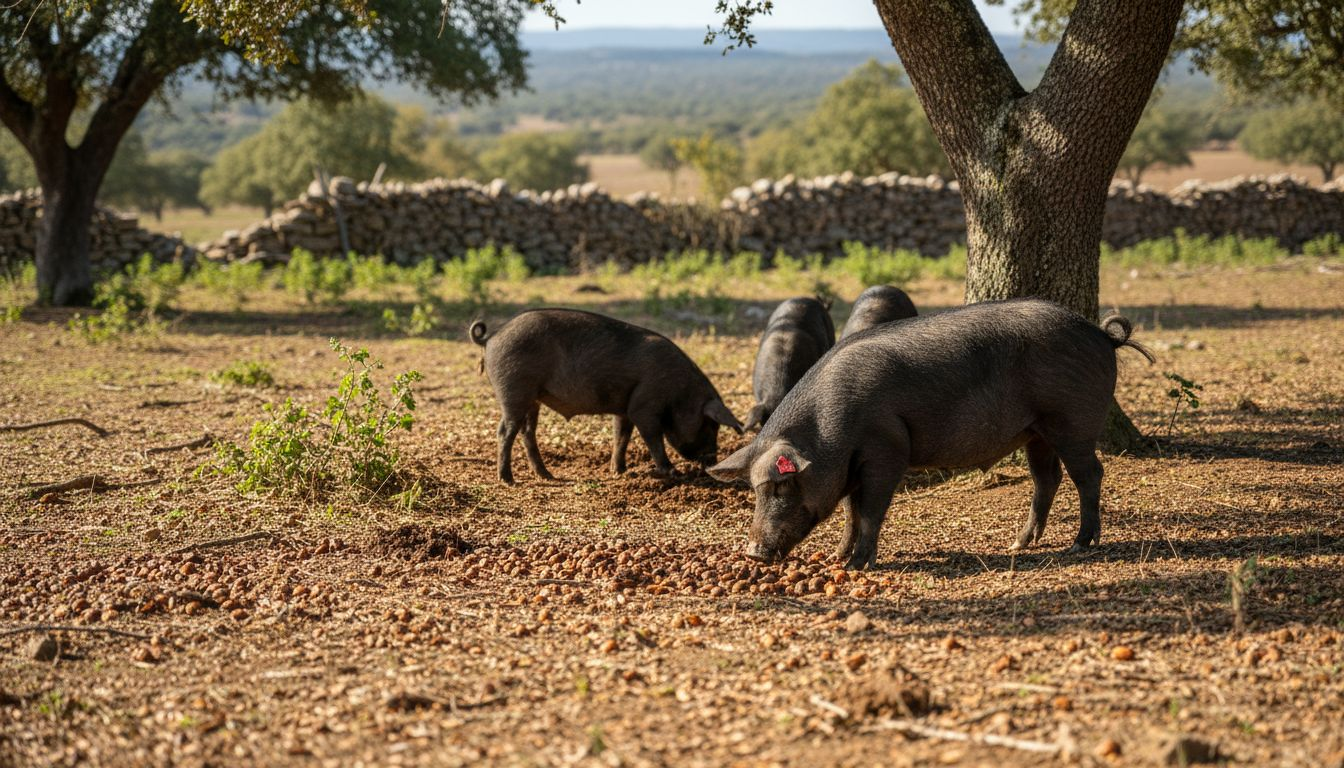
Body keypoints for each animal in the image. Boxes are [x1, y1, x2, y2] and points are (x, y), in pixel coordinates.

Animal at [469, 309, 743, 484]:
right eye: (711, 425)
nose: (712, 462)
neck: (680, 393)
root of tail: (491, 337)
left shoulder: (625, 409)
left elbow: (621, 436)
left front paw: (618, 471)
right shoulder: (644, 407)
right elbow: (653, 438)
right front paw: (672, 473)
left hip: (532, 397)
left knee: (528, 432)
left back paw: (547, 475)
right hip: (514, 389)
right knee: (505, 430)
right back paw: (508, 480)